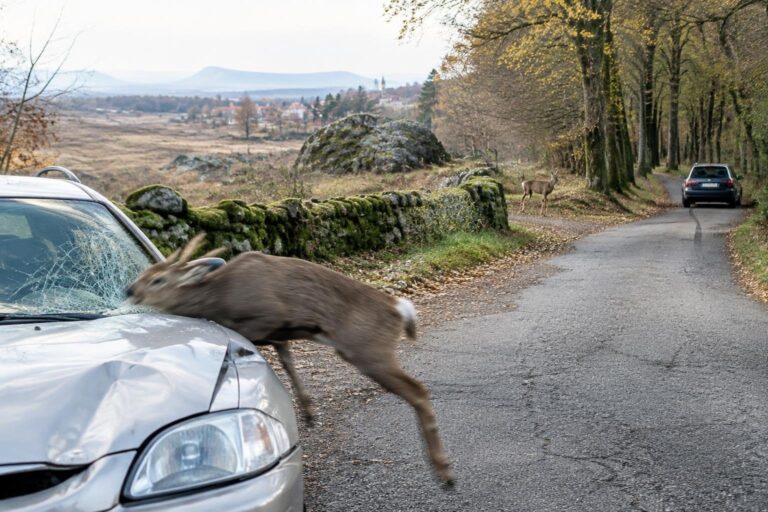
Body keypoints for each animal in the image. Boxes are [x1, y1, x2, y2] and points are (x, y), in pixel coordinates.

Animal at [126, 233, 454, 487]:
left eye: (157, 279)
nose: (130, 289)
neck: (221, 297)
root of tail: (400, 309)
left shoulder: (269, 315)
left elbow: (274, 351)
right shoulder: (277, 331)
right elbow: (286, 358)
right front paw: (308, 412)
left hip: (369, 350)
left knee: (418, 391)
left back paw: (444, 472)